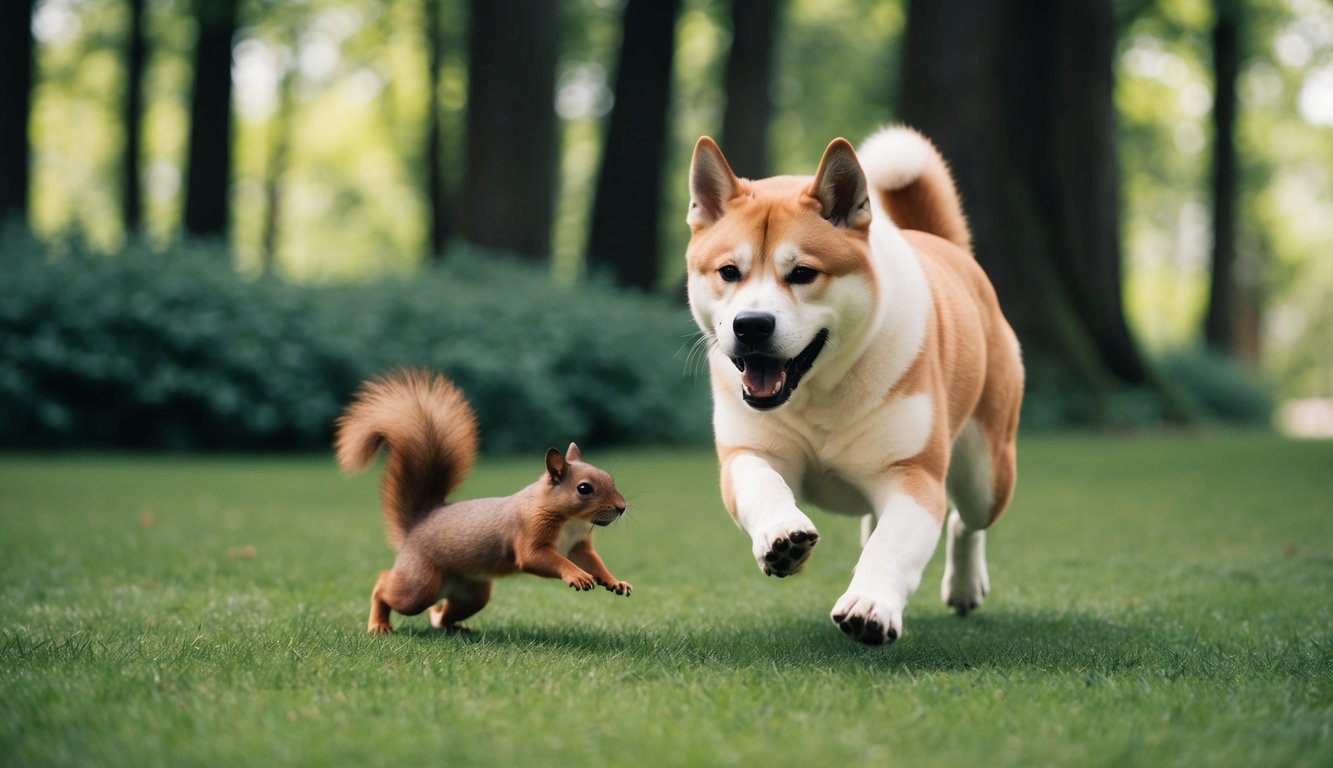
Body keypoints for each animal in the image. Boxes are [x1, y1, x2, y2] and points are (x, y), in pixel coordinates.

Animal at [334, 368, 632, 635]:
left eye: (610, 479)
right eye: (584, 489)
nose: (621, 508)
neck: (571, 521)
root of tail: (418, 525)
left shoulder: (578, 546)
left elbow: (593, 561)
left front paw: (615, 581)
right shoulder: (529, 534)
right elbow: (539, 558)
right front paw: (577, 575)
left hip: (473, 594)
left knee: (444, 613)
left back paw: (452, 626)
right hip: (419, 585)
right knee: (384, 586)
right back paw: (379, 624)